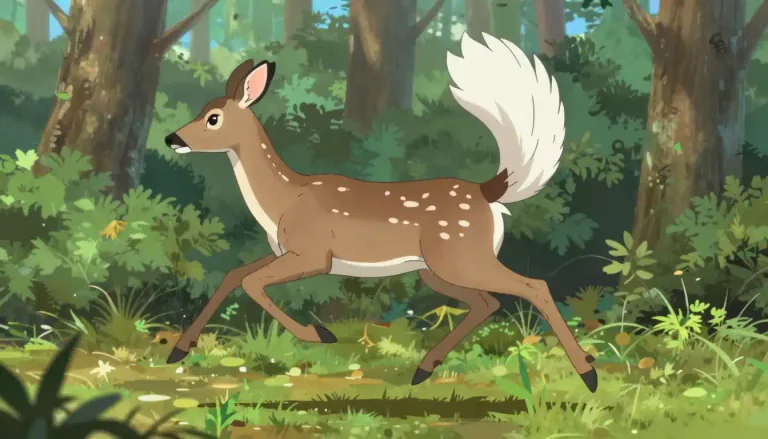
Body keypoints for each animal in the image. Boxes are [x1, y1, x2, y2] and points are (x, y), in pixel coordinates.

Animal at [163, 32, 598, 393]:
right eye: (203, 110)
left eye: (213, 118)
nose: (171, 138)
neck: (282, 201)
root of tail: (488, 191)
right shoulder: (283, 250)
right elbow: (234, 276)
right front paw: (178, 349)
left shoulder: (313, 253)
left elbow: (252, 283)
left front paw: (319, 333)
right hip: (437, 266)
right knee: (487, 302)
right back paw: (424, 369)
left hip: (459, 255)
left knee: (532, 286)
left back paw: (587, 372)